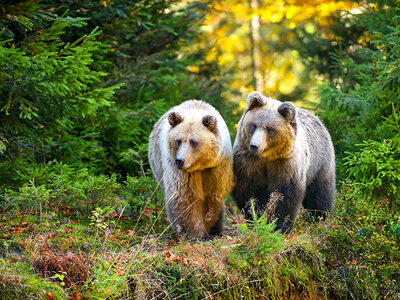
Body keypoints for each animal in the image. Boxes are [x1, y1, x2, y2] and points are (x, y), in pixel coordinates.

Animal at [148, 101, 233, 239]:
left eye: (194, 142)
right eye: (178, 141)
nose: (180, 160)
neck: (201, 165)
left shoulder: (216, 167)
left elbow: (213, 194)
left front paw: (209, 226)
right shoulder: (180, 170)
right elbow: (185, 196)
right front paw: (196, 233)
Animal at [233, 91, 336, 232]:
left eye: (270, 128)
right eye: (254, 125)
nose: (254, 146)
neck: (266, 157)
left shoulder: (286, 163)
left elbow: (285, 193)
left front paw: (280, 225)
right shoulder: (248, 163)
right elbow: (249, 192)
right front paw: (256, 217)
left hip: (320, 163)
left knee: (320, 194)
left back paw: (319, 218)